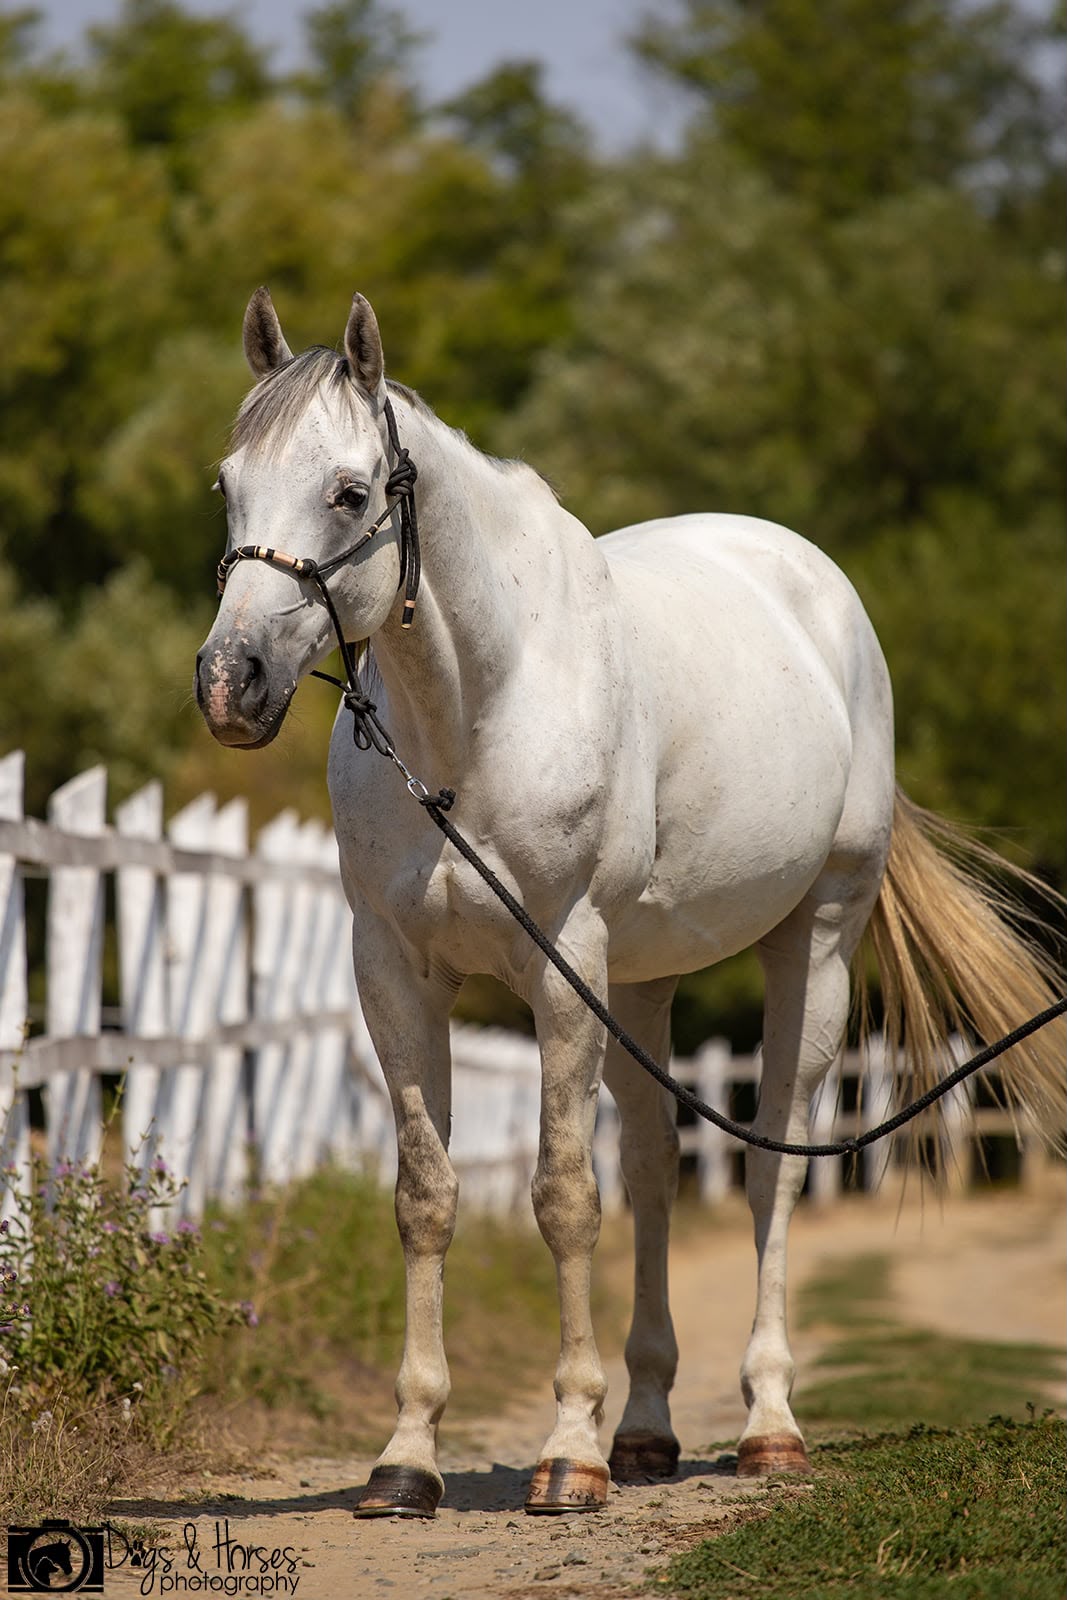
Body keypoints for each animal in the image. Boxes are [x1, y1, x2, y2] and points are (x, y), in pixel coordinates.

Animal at [196, 288, 1064, 1518]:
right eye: (227, 485)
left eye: (349, 493)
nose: (231, 684)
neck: (478, 713)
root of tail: (817, 589)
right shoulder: (395, 971)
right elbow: (427, 1194)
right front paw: (407, 1456)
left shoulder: (562, 966)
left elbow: (565, 1194)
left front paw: (568, 1449)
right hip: (642, 988)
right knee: (655, 1169)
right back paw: (648, 1428)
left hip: (813, 947)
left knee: (771, 1163)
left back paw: (765, 1426)